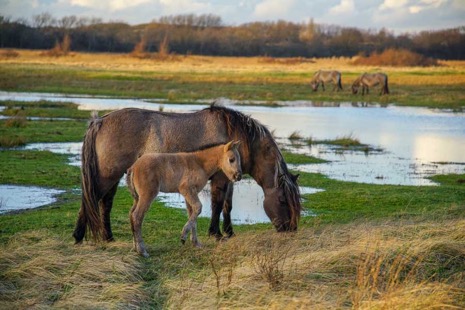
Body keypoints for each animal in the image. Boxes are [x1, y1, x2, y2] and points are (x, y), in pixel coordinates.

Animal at [73, 104, 300, 245]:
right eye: (282, 200)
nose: (291, 229)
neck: (236, 137)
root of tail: (100, 121)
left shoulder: (230, 179)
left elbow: (228, 206)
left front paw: (229, 232)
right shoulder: (220, 179)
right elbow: (217, 204)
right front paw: (216, 233)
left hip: (115, 176)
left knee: (105, 204)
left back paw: (108, 237)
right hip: (107, 176)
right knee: (91, 200)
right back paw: (78, 235)